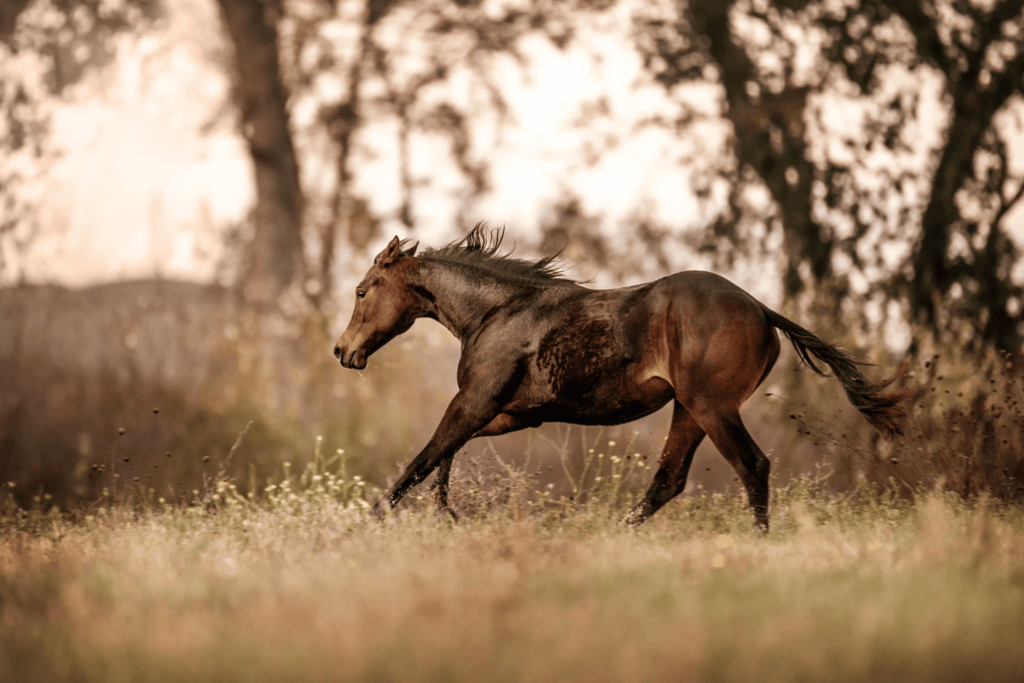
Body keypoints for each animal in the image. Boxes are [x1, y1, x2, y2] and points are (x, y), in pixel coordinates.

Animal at [331, 227, 917, 532]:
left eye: (362, 290)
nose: (342, 351)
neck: (497, 312)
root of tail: (762, 310)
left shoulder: (475, 401)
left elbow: (424, 456)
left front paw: (369, 520)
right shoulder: (511, 413)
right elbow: (444, 455)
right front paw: (446, 512)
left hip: (712, 407)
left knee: (751, 465)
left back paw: (758, 540)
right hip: (689, 409)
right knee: (668, 480)